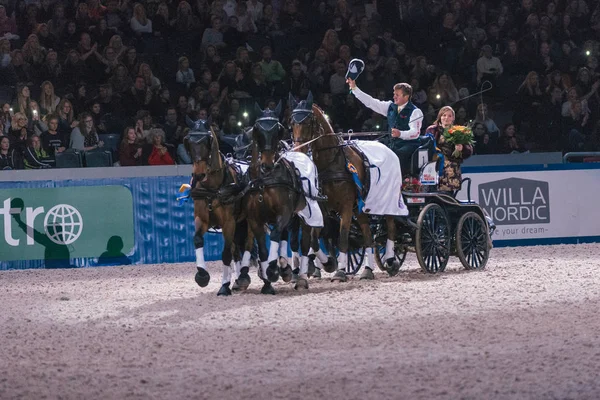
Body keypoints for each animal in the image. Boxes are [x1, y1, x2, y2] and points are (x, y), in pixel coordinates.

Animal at [185, 125, 251, 296]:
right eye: (189, 142)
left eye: (207, 142)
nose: (199, 174)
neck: (213, 189)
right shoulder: (202, 219)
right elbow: (197, 239)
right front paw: (202, 275)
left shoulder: (228, 222)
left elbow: (226, 254)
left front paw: (224, 286)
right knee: (237, 249)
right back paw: (239, 280)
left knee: (248, 243)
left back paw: (243, 276)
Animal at [290, 94, 398, 282]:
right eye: (292, 122)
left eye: (308, 122)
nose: (299, 151)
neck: (332, 162)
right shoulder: (323, 208)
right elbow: (316, 239)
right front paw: (327, 263)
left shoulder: (346, 206)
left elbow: (342, 238)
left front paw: (339, 271)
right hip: (360, 207)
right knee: (367, 235)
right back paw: (368, 270)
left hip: (386, 201)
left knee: (390, 226)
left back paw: (391, 260)